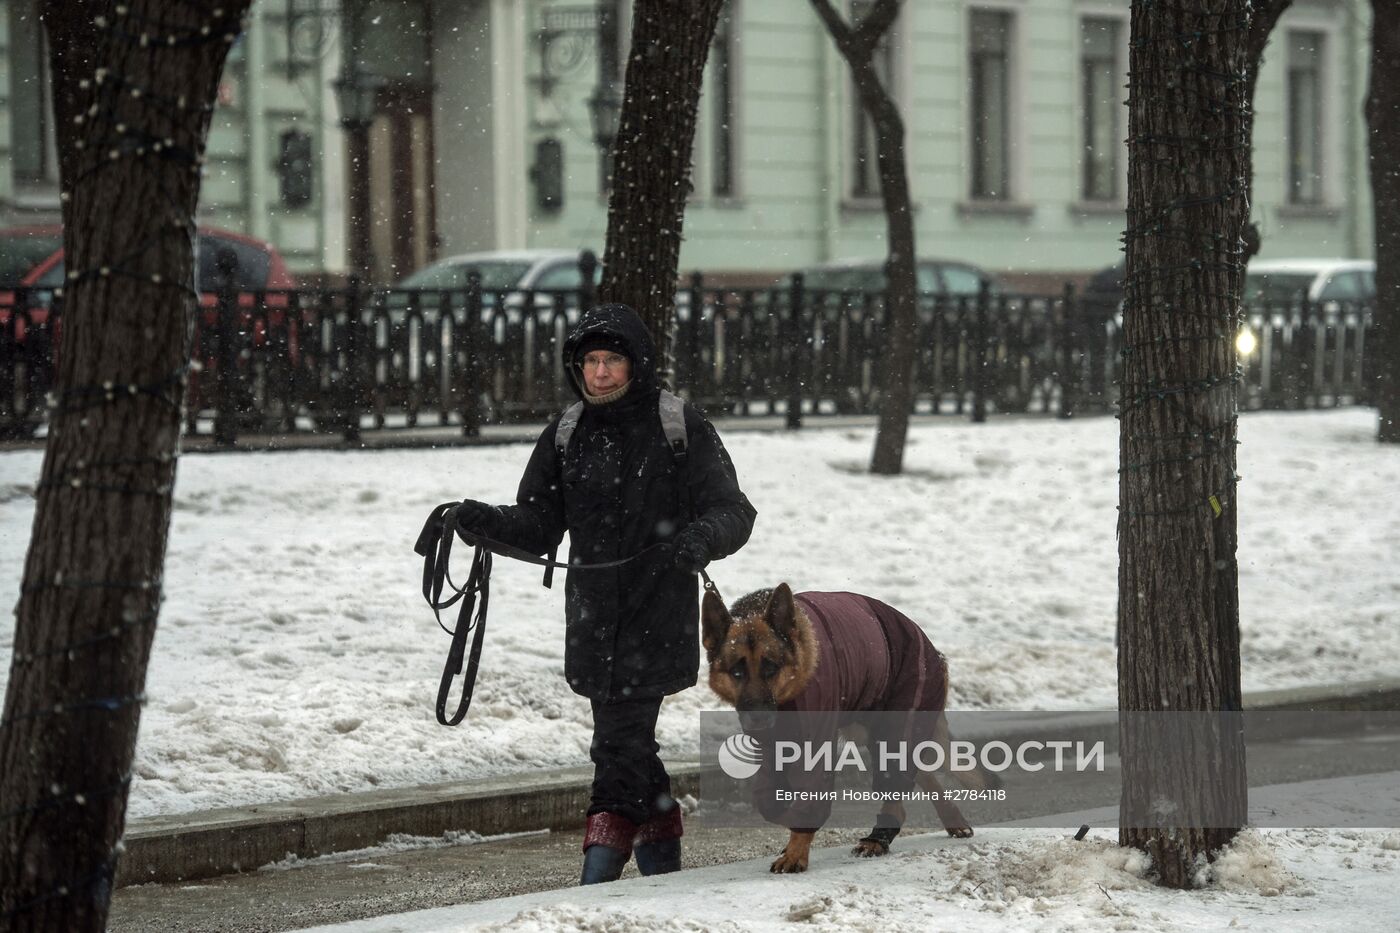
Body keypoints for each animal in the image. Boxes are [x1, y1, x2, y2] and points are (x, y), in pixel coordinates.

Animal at [705, 582, 991, 874]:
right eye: (737, 672)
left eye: (770, 668)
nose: (758, 719)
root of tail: (932, 647)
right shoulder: (773, 747)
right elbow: (770, 803)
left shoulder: (817, 743)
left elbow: (809, 798)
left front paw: (796, 852)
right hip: (867, 728)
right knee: (920, 775)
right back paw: (951, 819)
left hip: (896, 725)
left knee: (899, 779)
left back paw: (878, 839)